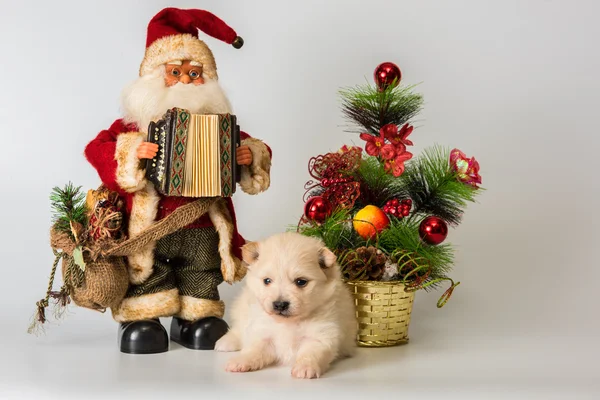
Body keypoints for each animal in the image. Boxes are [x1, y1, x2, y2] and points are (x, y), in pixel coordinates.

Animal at [216, 231, 356, 378]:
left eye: (301, 282)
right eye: (267, 281)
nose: (279, 304)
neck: (289, 323)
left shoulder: (321, 335)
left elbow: (311, 353)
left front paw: (305, 367)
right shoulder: (263, 333)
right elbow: (254, 349)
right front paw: (240, 361)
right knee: (238, 328)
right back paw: (225, 342)